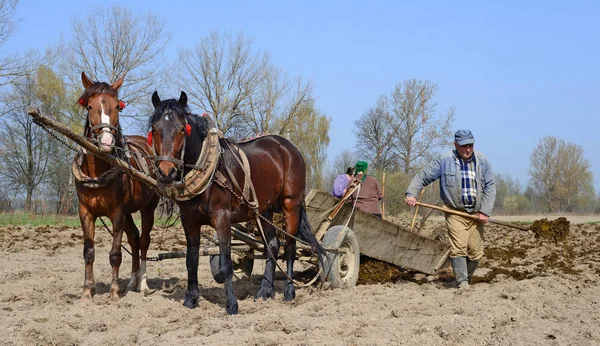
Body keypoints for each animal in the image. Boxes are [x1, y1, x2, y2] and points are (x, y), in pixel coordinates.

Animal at [74, 72, 159, 300]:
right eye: (90, 106)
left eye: (117, 107)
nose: (105, 141)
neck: (98, 173)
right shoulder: (85, 212)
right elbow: (88, 252)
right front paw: (87, 291)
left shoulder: (117, 212)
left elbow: (115, 254)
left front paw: (113, 292)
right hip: (129, 211)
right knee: (134, 239)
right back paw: (131, 283)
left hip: (148, 207)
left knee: (144, 240)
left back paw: (143, 284)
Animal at [148, 91, 324, 314]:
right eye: (154, 129)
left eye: (181, 129)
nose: (166, 172)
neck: (209, 169)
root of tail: (289, 147)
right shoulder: (189, 220)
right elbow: (191, 260)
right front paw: (191, 299)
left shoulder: (222, 217)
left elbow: (225, 262)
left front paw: (231, 304)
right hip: (263, 210)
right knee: (273, 245)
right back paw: (264, 291)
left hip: (291, 205)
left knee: (290, 248)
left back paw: (289, 292)